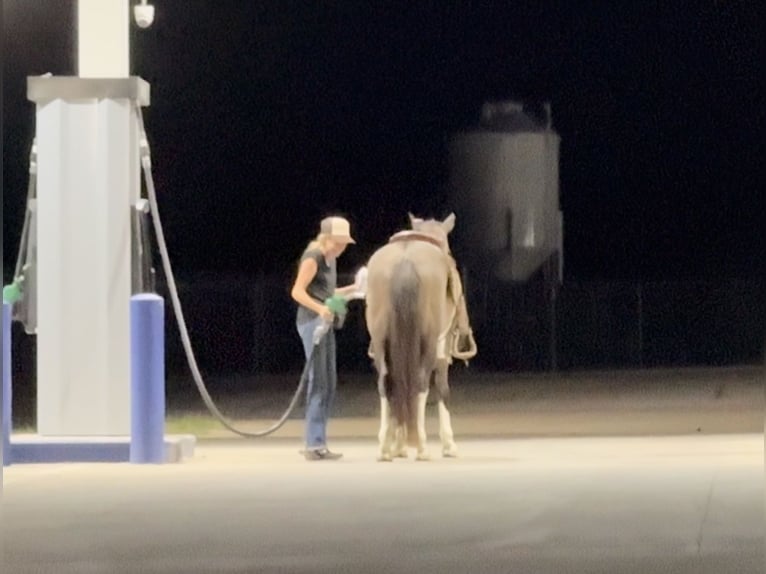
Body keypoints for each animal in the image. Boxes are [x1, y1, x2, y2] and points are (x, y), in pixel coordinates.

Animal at [364, 214, 476, 462]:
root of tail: (405, 261)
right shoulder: (442, 350)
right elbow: (442, 389)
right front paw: (448, 444)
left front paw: (398, 444)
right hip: (429, 342)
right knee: (421, 382)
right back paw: (422, 446)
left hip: (382, 341)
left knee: (386, 382)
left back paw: (385, 447)